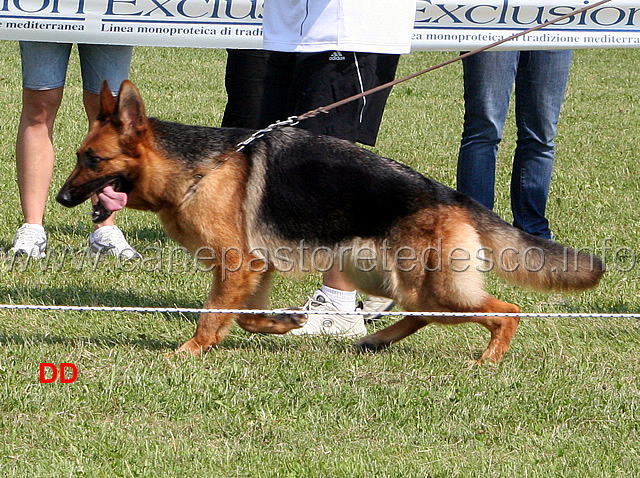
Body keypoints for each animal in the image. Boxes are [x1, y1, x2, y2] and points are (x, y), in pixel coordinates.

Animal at [56, 80, 604, 360]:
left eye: (93, 160)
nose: (60, 197)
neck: (197, 167)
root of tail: (453, 196)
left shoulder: (236, 264)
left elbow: (213, 314)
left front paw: (187, 353)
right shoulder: (254, 267)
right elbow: (247, 317)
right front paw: (282, 323)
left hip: (431, 285)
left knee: (506, 310)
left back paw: (487, 360)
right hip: (393, 279)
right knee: (423, 314)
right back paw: (376, 339)